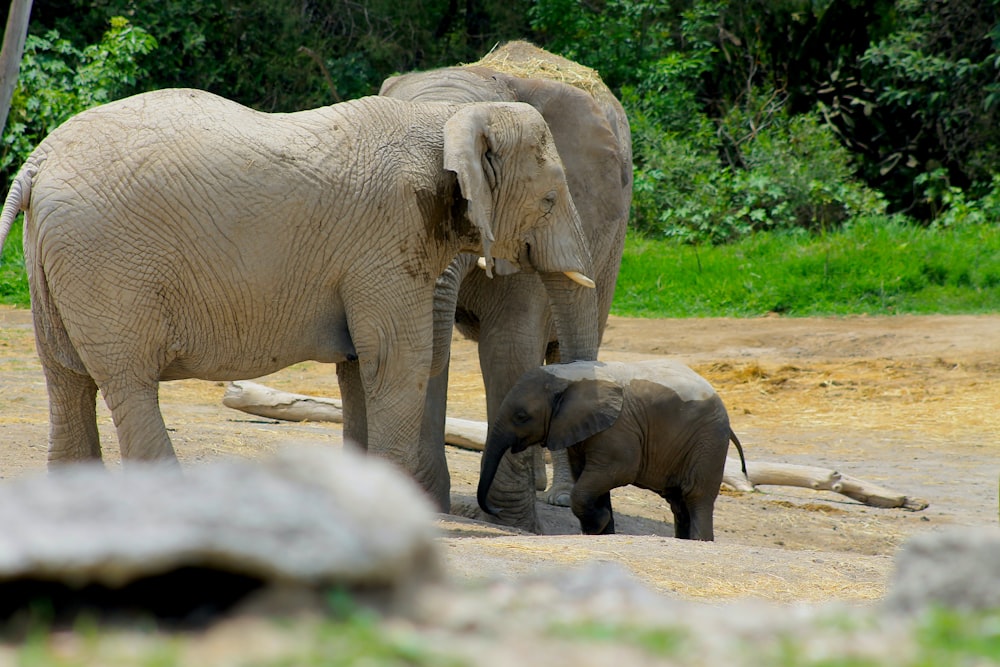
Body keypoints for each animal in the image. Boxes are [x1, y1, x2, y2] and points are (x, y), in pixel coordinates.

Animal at [0, 87, 592, 490]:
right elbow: (395, 360)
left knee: (66, 377)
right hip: (106, 262)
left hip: (54, 258)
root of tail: (37, 162)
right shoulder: (384, 237)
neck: (446, 119)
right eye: (549, 201)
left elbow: (359, 367)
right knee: (127, 380)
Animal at [480, 360, 748, 544]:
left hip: (708, 440)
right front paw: (601, 530)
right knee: (678, 503)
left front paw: (598, 524)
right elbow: (589, 479)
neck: (567, 376)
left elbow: (616, 472)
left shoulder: (617, 428)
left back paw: (699, 541)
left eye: (521, 417)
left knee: (696, 496)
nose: (496, 511)